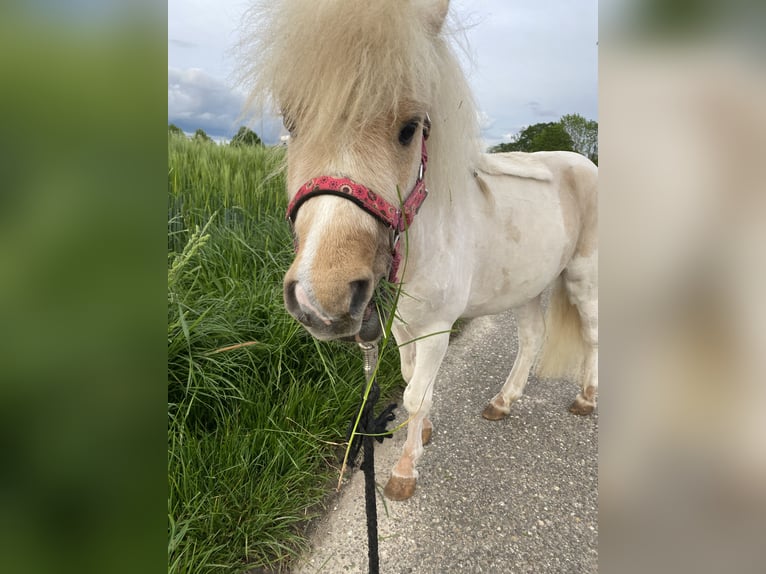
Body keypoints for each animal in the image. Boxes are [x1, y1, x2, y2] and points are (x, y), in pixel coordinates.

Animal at [242, 0, 600, 502]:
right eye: (291, 122)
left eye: (410, 128)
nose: (323, 298)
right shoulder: (402, 328)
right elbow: (413, 381)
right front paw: (422, 433)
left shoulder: (435, 329)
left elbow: (417, 394)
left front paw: (405, 470)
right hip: (529, 284)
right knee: (531, 338)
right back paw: (502, 402)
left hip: (584, 277)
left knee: (592, 333)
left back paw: (586, 397)